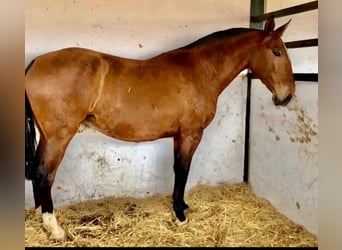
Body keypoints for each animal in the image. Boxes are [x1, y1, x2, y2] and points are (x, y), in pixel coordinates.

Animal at [26, 16, 294, 239]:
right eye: (277, 52)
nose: (287, 96)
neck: (200, 71)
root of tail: (36, 62)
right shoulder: (190, 134)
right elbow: (183, 171)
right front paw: (180, 216)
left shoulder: (178, 136)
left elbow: (178, 170)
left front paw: (181, 206)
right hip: (59, 137)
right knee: (44, 175)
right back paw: (55, 228)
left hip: (47, 136)